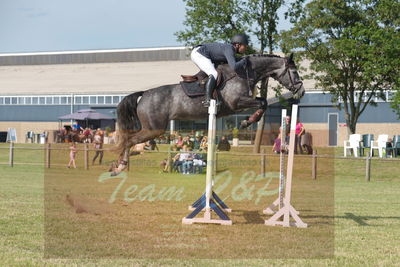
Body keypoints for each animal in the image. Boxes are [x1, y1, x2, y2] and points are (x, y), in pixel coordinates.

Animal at [111, 53, 304, 177]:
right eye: (294, 72)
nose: (301, 92)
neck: (243, 73)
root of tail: (144, 94)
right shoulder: (236, 103)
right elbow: (263, 103)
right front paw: (246, 122)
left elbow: (262, 101)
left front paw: (247, 121)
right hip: (154, 129)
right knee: (129, 140)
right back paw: (120, 166)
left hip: (153, 129)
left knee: (128, 140)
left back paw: (117, 166)